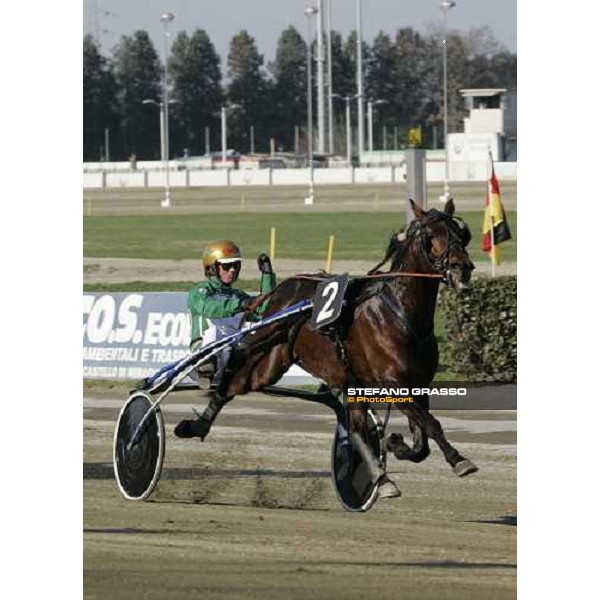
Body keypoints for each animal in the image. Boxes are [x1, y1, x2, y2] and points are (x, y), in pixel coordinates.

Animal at [192, 199, 478, 494]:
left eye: (460, 233)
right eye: (430, 236)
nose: (462, 268)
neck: (401, 312)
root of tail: (283, 288)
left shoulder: (417, 383)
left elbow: (421, 443)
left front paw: (395, 444)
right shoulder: (393, 381)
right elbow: (431, 424)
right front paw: (459, 459)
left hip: (313, 372)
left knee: (354, 428)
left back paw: (381, 477)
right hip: (268, 353)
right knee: (233, 379)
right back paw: (196, 422)